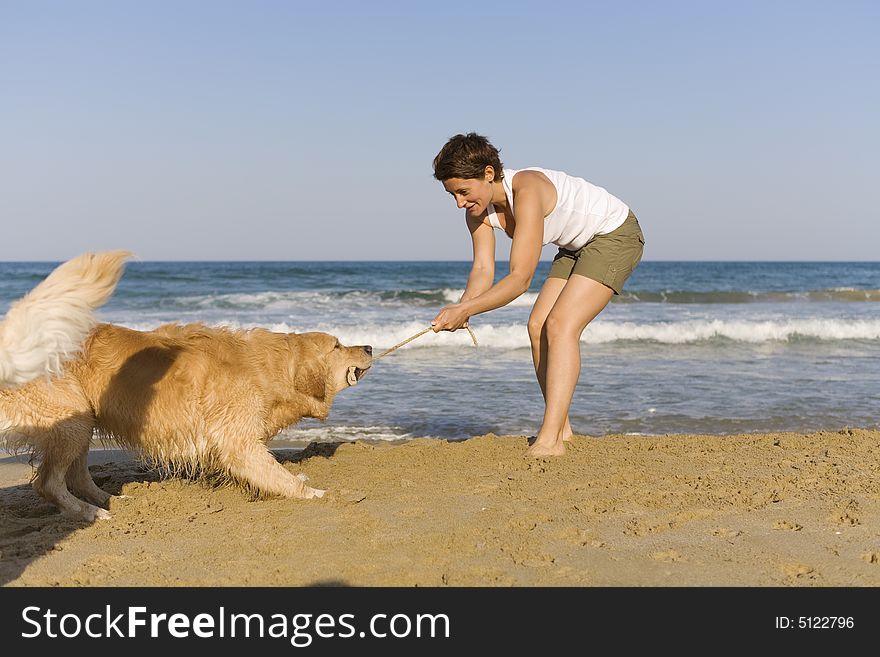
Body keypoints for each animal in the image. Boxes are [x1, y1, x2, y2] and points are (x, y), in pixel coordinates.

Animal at [0, 320, 372, 520]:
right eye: (337, 345)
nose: (369, 346)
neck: (270, 367)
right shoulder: (238, 441)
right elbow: (276, 474)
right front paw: (316, 493)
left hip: (83, 418)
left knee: (76, 475)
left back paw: (110, 500)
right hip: (72, 416)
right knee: (47, 483)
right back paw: (92, 513)